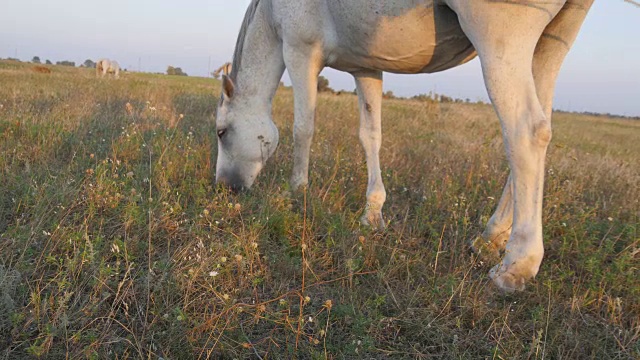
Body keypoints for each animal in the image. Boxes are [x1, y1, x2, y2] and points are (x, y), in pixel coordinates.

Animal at [215, 0, 596, 292]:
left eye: (221, 131)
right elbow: (371, 135)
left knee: (524, 132)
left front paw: (298, 190)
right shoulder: (366, 67)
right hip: (551, 43)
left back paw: (517, 264)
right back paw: (490, 238)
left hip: (501, 38)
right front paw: (372, 213)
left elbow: (303, 127)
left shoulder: (300, 52)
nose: (224, 188)